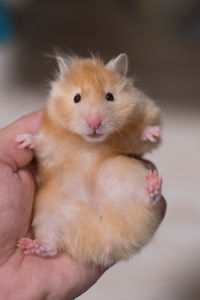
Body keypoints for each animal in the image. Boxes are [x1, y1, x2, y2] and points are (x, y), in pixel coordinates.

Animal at [16, 53, 165, 264]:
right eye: (76, 97)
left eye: (110, 96)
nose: (94, 123)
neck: (89, 143)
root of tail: (104, 236)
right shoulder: (51, 143)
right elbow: (40, 142)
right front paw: (21, 141)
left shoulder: (137, 126)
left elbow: (140, 137)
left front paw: (153, 132)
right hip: (47, 216)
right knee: (51, 246)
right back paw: (31, 246)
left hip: (130, 181)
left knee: (147, 199)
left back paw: (153, 185)